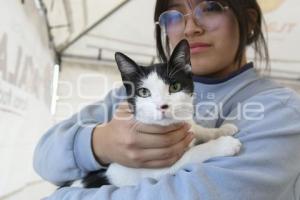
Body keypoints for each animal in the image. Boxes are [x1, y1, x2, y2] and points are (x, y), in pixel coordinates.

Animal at [78, 40, 240, 188]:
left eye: (175, 87)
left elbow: (197, 129)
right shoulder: (156, 169)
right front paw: (224, 145)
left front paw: (222, 130)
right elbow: (192, 154)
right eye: (144, 92)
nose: (162, 106)